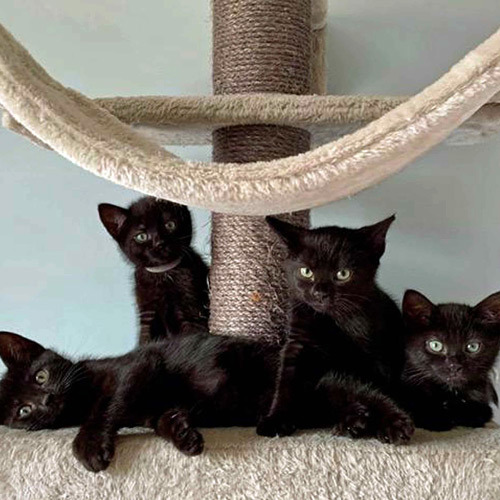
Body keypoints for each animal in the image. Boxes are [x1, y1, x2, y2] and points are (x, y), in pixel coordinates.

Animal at [0, 332, 414, 472]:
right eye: (22, 410)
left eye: (40, 376)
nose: (47, 399)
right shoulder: (150, 406)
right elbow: (163, 418)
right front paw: (183, 434)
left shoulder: (134, 368)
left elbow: (106, 405)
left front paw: (87, 445)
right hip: (317, 401)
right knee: (349, 402)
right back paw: (355, 423)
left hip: (315, 383)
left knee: (367, 392)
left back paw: (395, 424)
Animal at [97, 197, 209, 346]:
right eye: (141, 236)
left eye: (170, 225)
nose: (159, 243)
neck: (162, 275)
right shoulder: (147, 313)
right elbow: (145, 340)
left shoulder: (193, 311)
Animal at [256, 215, 412, 442]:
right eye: (306, 272)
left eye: (343, 274)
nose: (320, 293)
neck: (332, 320)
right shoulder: (298, 343)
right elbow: (287, 382)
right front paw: (276, 419)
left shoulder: (376, 355)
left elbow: (372, 389)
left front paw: (390, 421)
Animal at [394, 292, 500, 432]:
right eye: (435, 345)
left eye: (473, 346)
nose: (454, 366)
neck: (450, 393)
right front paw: (440, 419)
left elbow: (479, 412)